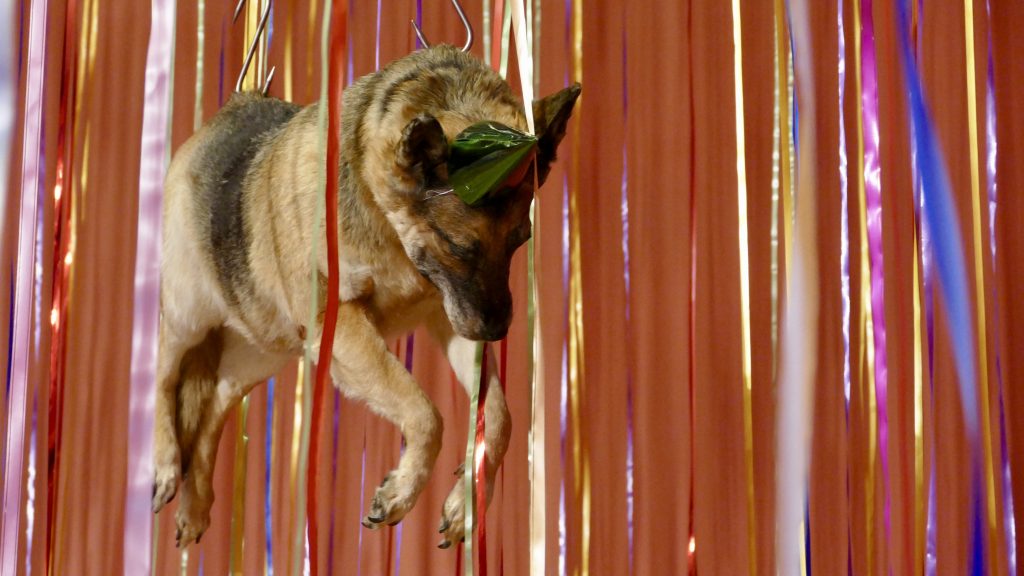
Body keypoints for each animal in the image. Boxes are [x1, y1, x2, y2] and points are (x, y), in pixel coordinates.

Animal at [151, 44, 580, 550]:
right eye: (458, 246)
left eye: (521, 240)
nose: (496, 331)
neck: (388, 225)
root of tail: (228, 110)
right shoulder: (344, 327)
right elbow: (426, 414)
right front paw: (402, 491)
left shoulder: (448, 319)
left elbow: (499, 416)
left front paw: (466, 503)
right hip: (189, 317)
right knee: (164, 375)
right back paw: (165, 464)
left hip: (268, 346)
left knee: (215, 402)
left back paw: (196, 503)